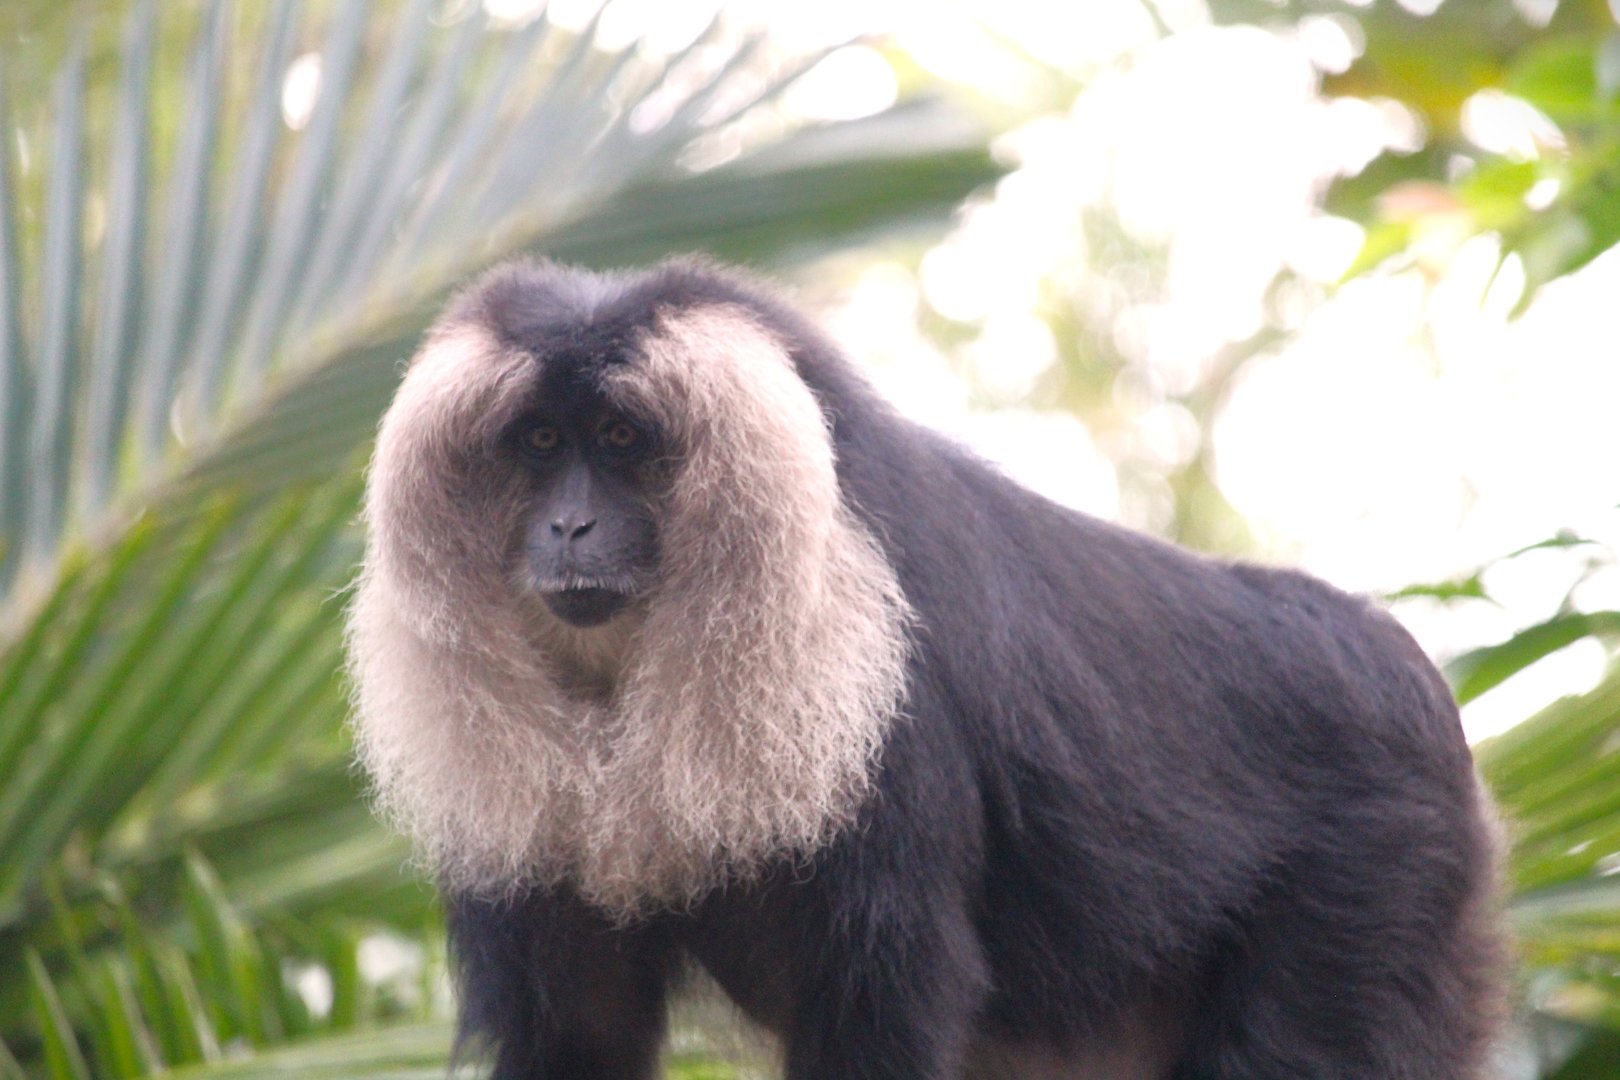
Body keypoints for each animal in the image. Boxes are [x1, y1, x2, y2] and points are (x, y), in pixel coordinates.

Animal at [346, 257, 1506, 1080]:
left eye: (624, 441)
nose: (570, 526)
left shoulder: (877, 716)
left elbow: (882, 1009)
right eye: (542, 443)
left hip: (1382, 866)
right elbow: (580, 1032)